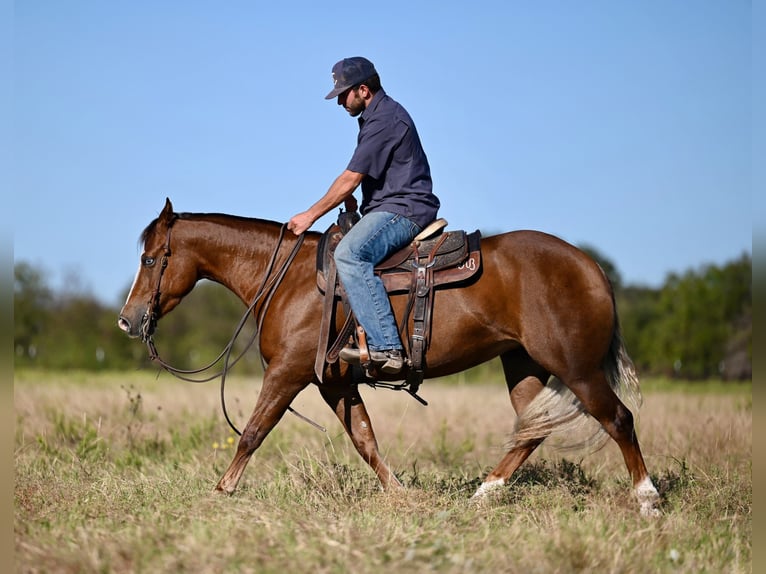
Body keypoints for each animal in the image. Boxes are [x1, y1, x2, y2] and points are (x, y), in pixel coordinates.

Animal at [117, 200, 664, 520]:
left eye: (149, 259)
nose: (127, 320)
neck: (288, 278)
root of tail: (591, 267)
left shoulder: (288, 373)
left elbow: (252, 431)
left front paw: (219, 494)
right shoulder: (335, 383)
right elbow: (366, 440)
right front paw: (401, 495)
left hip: (577, 368)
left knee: (618, 418)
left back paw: (648, 499)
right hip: (523, 364)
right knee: (532, 431)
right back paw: (484, 493)